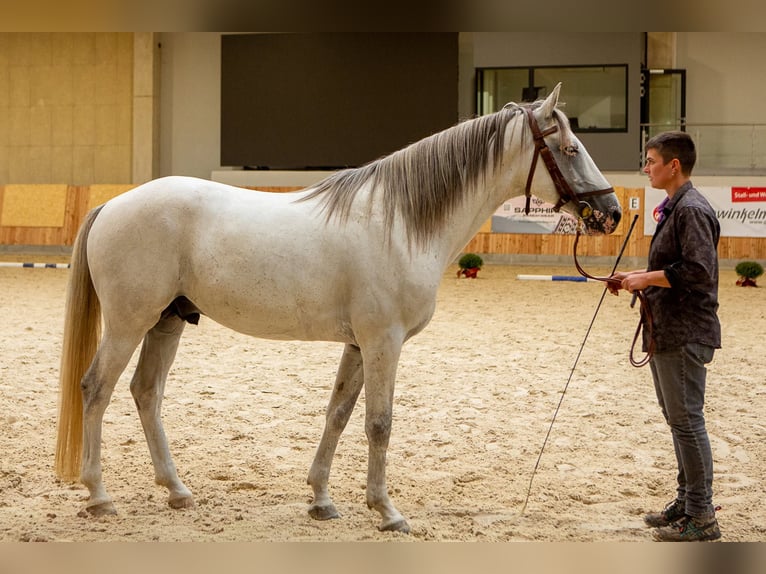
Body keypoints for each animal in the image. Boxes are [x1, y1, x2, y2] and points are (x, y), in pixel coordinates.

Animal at [55, 83, 622, 534]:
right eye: (569, 149)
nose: (611, 212)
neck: (400, 222)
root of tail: (114, 203)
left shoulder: (357, 344)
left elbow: (338, 415)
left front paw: (322, 500)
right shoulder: (383, 341)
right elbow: (379, 423)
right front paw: (387, 511)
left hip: (167, 323)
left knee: (146, 393)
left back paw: (177, 491)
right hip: (129, 324)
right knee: (97, 389)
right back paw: (100, 496)